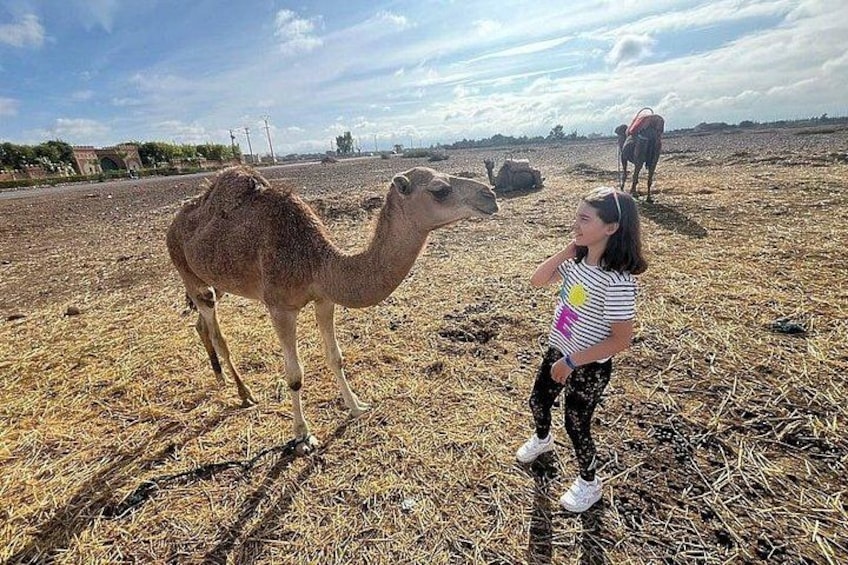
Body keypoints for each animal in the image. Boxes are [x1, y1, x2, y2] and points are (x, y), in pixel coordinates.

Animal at [166, 165, 498, 453]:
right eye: (439, 189)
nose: (490, 195)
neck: (316, 261)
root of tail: (175, 223)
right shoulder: (280, 306)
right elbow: (295, 374)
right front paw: (303, 436)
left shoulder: (324, 299)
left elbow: (335, 357)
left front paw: (356, 406)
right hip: (186, 270)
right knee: (215, 328)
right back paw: (244, 394)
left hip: (215, 280)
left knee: (201, 323)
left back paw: (221, 377)